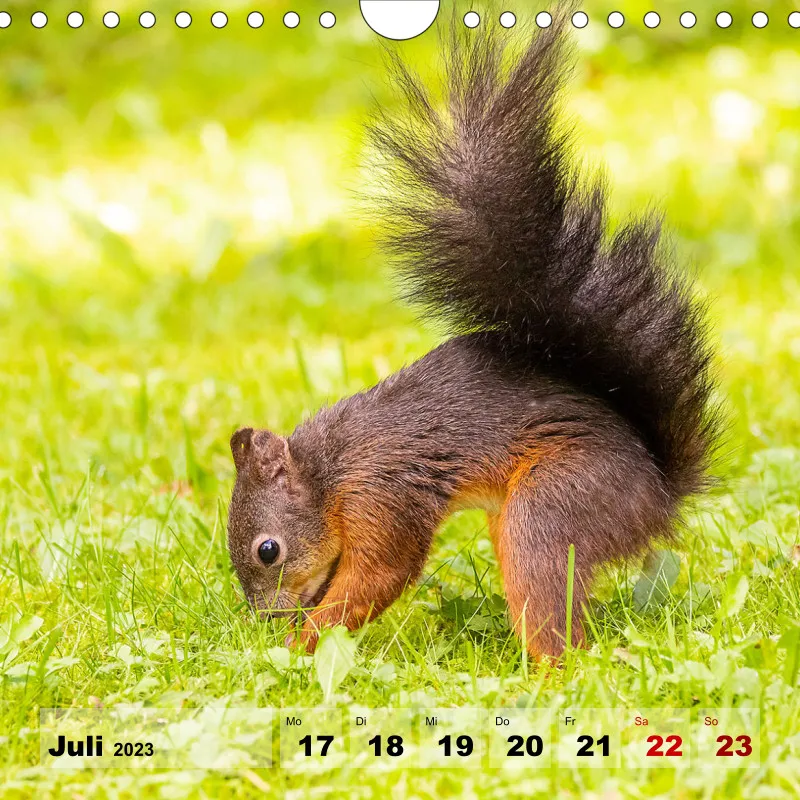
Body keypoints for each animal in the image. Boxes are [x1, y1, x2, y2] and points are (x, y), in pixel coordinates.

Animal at [226, 17, 719, 658]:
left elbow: (380, 575)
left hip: (554, 504)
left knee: (554, 609)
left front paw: (303, 643)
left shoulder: (383, 495)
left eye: (268, 550)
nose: (264, 621)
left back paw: (546, 668)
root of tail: (660, 494)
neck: (331, 472)